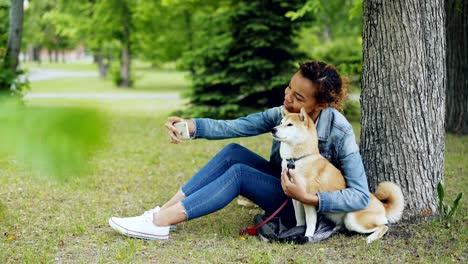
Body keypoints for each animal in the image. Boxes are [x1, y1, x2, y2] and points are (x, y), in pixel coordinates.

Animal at [272, 106, 404, 243]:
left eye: (290, 124)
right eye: (281, 122)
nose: (273, 129)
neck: (297, 160)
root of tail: (382, 206)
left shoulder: (307, 198)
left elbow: (310, 223)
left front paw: (307, 236)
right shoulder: (296, 199)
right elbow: (300, 220)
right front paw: (297, 229)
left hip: (352, 218)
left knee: (384, 226)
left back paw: (371, 238)